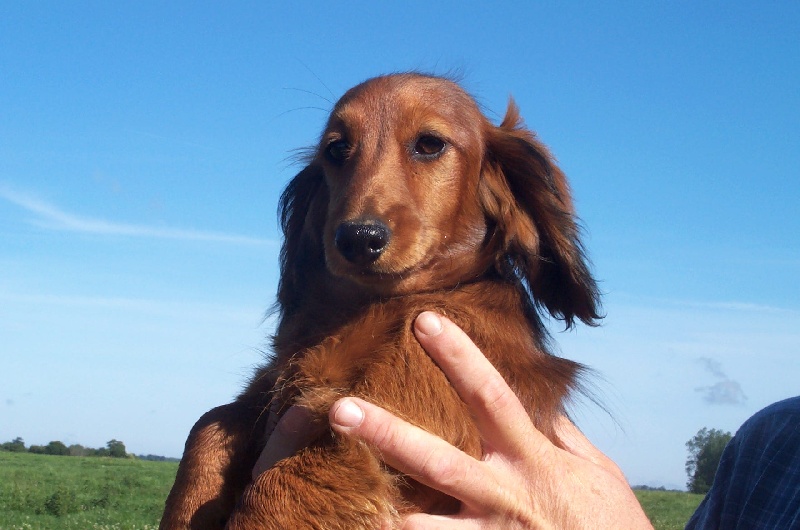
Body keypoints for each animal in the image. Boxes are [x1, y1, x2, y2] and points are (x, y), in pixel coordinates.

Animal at [160, 73, 601, 530]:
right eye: (336, 149)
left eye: (429, 144)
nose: (358, 238)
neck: (374, 306)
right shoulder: (274, 392)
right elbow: (208, 425)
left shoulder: (375, 429)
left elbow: (274, 494)